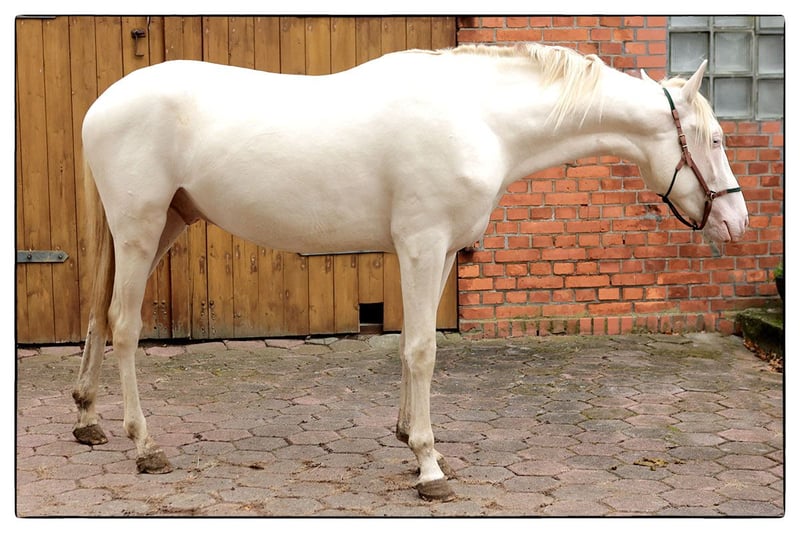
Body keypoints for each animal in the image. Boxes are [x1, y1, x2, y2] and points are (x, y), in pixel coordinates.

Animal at [73, 42, 748, 501]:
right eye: (715, 139)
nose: (736, 221)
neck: (479, 117)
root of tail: (101, 104)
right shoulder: (422, 244)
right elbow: (423, 349)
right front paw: (429, 467)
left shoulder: (440, 250)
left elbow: (410, 345)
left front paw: (407, 438)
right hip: (139, 229)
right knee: (124, 326)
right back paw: (144, 446)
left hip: (162, 226)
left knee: (97, 319)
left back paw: (88, 421)